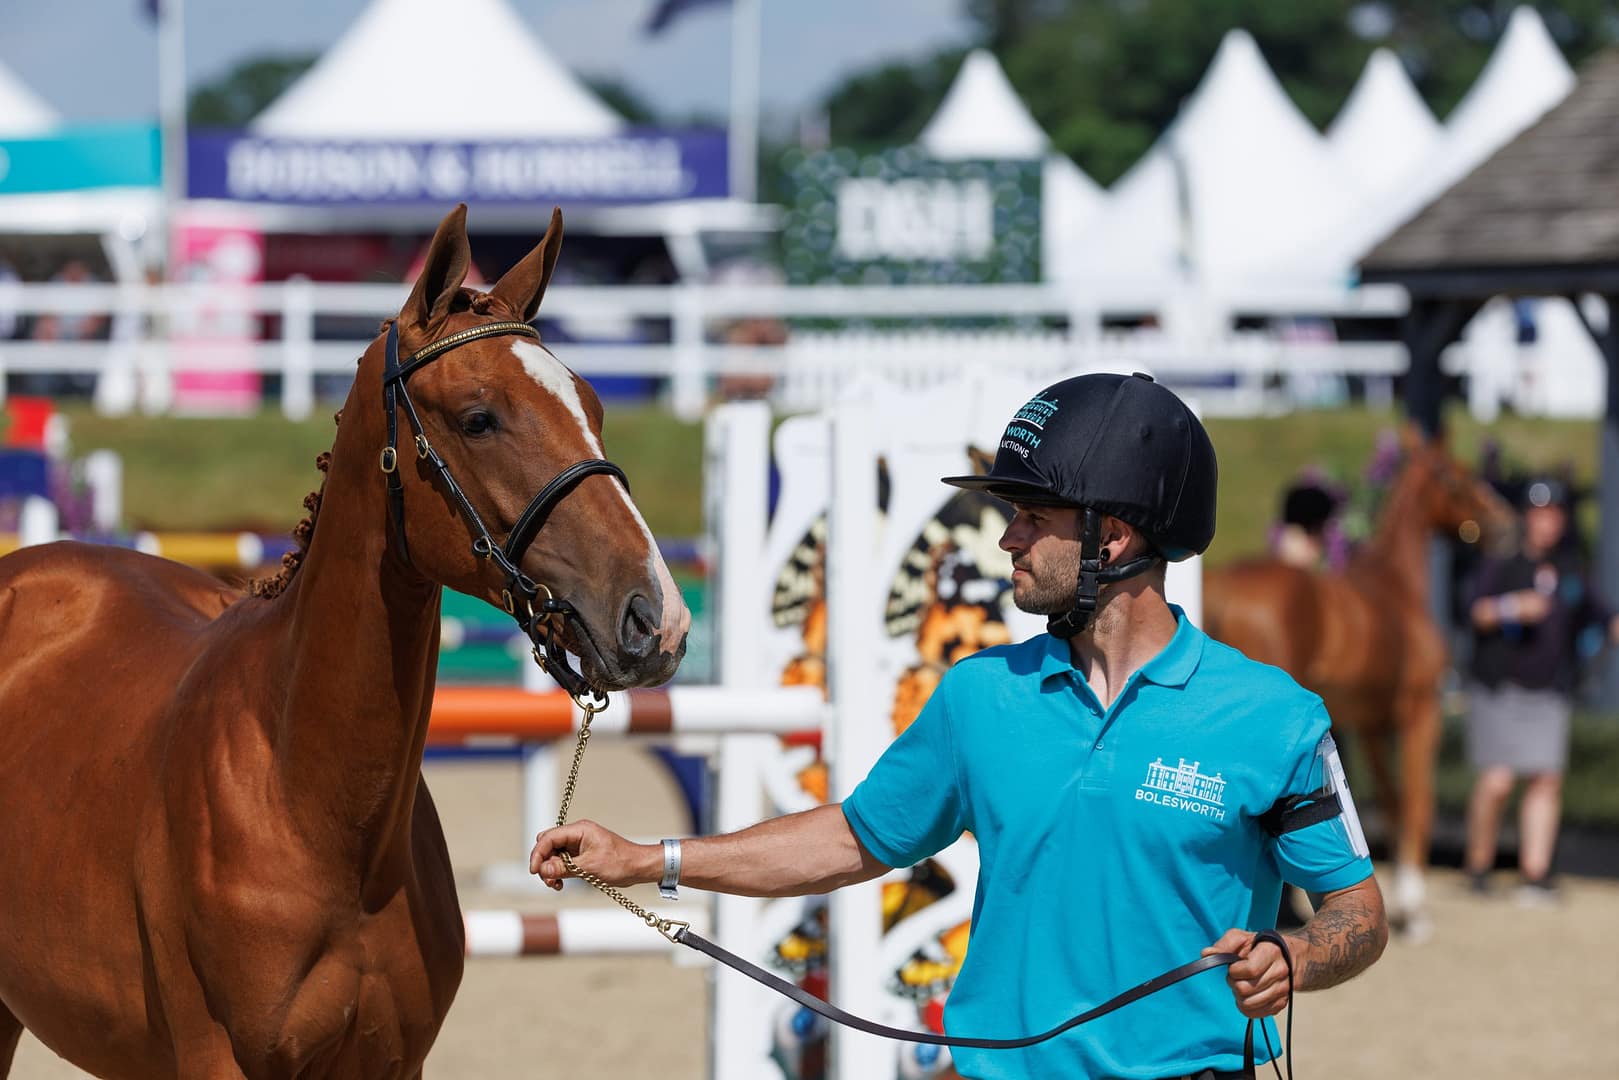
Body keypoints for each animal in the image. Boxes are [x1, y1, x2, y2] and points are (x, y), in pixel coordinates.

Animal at [1202, 427, 1514, 940]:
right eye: (1457, 477)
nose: (1507, 527)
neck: (1396, 588)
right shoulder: (1420, 713)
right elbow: (1417, 802)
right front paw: (1414, 909)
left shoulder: (1369, 725)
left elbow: (1390, 800)